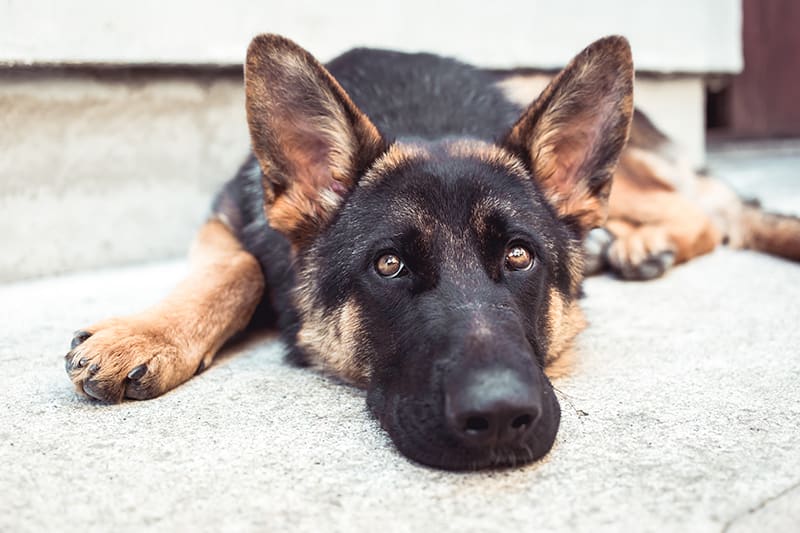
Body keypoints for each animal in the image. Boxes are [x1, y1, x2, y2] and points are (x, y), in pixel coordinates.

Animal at [64, 33, 800, 468]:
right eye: (389, 265)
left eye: (519, 256)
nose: (500, 417)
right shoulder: (226, 216)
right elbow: (236, 267)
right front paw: (147, 333)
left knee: (707, 213)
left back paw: (642, 242)